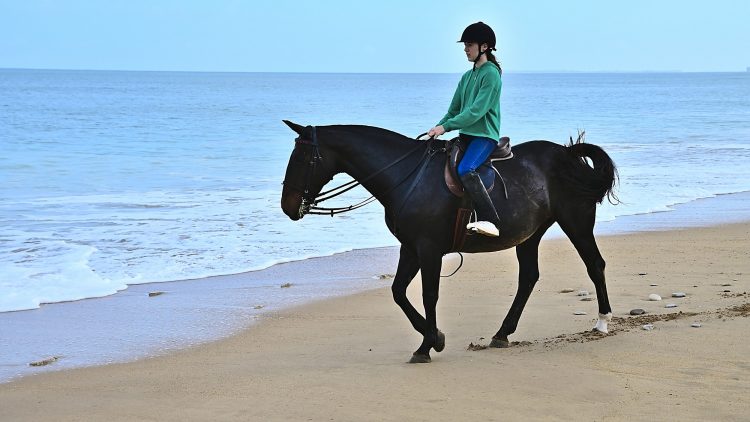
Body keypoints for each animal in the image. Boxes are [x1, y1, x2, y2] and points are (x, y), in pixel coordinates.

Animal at [280, 120, 618, 363]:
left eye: (303, 158)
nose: (287, 206)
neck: (405, 175)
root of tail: (567, 155)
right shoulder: (411, 248)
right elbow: (398, 292)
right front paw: (435, 337)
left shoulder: (429, 249)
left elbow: (429, 295)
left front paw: (426, 346)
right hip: (530, 235)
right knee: (529, 278)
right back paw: (502, 333)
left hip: (576, 222)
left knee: (595, 264)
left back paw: (602, 321)